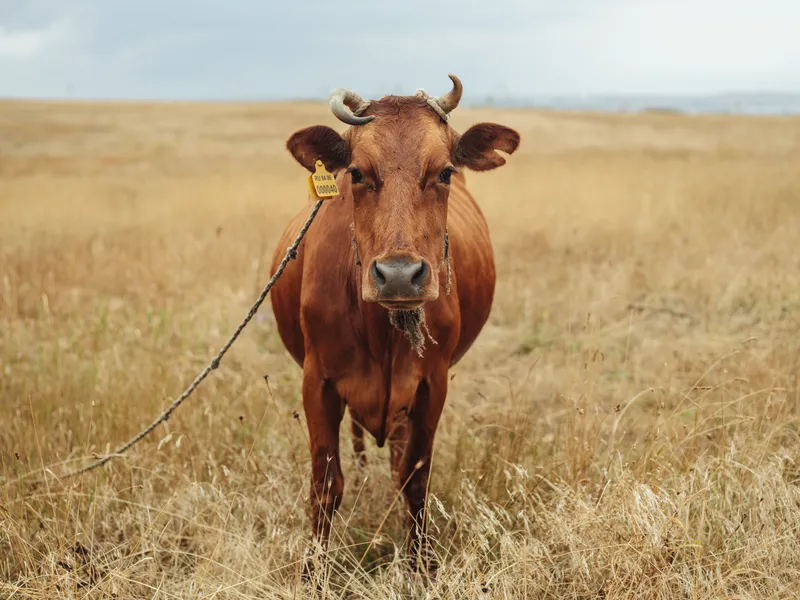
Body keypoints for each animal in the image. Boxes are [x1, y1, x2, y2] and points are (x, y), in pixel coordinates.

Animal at [269, 74, 520, 569]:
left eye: (444, 172)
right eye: (356, 173)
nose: (400, 274)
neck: (380, 332)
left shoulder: (430, 385)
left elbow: (414, 479)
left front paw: (421, 566)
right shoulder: (317, 382)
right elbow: (325, 485)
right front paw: (313, 572)